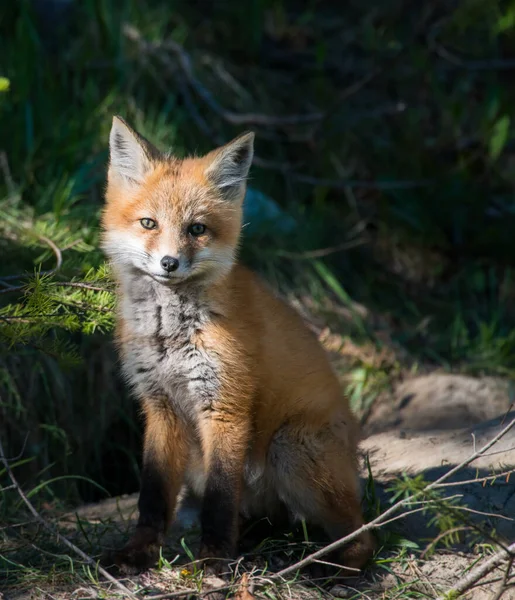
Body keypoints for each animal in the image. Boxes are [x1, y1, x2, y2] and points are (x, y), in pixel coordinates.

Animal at [102, 116, 374, 572]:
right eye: (148, 224)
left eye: (196, 229)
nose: (169, 263)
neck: (170, 334)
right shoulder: (160, 406)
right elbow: (152, 497)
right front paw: (139, 552)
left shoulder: (224, 407)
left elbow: (220, 498)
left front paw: (212, 559)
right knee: (273, 520)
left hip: (289, 448)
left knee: (362, 534)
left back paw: (329, 568)